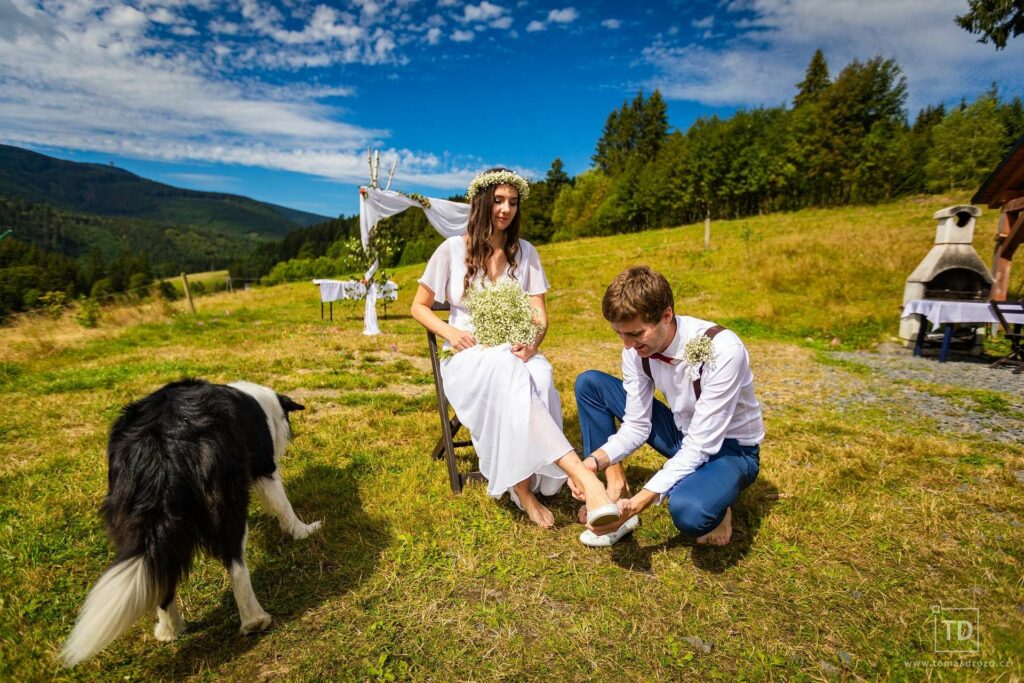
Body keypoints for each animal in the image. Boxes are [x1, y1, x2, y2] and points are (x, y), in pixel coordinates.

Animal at [59, 378, 319, 667]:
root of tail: (160, 447)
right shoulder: (265, 466)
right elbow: (283, 504)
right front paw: (303, 530)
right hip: (226, 506)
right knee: (236, 565)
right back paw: (254, 619)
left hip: (133, 519)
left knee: (162, 573)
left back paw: (170, 630)